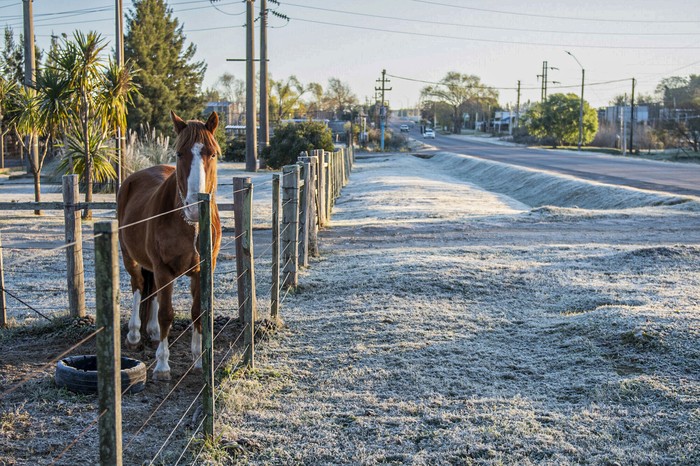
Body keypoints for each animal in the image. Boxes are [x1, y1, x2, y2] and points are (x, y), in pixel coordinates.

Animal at [117, 111, 221, 380]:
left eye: (213, 153)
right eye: (179, 153)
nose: (194, 207)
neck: (189, 225)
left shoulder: (203, 269)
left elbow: (198, 312)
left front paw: (199, 360)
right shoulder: (163, 269)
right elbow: (167, 314)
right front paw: (162, 365)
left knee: (151, 291)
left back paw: (152, 332)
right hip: (130, 257)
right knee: (138, 285)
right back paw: (134, 334)